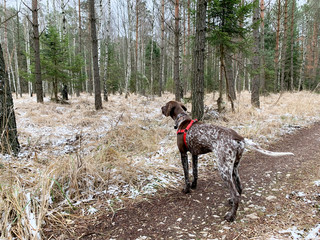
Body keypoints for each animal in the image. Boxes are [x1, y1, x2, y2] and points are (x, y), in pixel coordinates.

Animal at [161, 100, 294, 222]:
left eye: (165, 105)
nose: (161, 108)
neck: (182, 119)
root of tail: (239, 137)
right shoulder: (195, 154)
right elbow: (195, 172)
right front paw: (194, 185)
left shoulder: (183, 153)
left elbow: (186, 175)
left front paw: (186, 189)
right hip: (234, 167)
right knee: (239, 188)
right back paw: (231, 202)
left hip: (224, 169)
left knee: (236, 194)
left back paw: (231, 216)